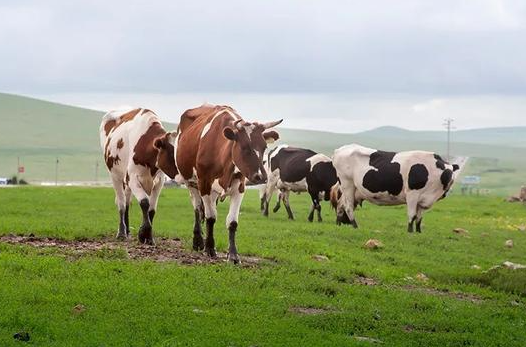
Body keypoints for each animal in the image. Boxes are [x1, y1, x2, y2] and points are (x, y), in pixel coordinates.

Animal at [100, 108, 178, 245]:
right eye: (170, 152)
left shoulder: (159, 182)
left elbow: (152, 209)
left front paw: (149, 237)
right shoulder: (132, 178)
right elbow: (144, 202)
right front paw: (143, 233)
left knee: (127, 202)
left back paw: (127, 230)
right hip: (115, 176)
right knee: (121, 203)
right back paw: (122, 232)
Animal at [175, 104, 282, 266]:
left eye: (264, 147)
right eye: (245, 147)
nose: (261, 177)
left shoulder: (239, 187)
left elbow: (232, 222)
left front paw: (232, 255)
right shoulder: (204, 184)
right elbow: (211, 217)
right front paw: (210, 248)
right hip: (190, 182)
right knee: (197, 209)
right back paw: (198, 241)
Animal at [332, 144, 460, 234]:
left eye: (452, 173)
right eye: (447, 173)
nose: (449, 182)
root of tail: (340, 149)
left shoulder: (424, 200)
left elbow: (419, 218)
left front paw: (418, 232)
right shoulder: (412, 194)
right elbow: (412, 215)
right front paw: (410, 232)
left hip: (351, 190)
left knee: (340, 204)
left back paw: (338, 224)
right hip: (347, 184)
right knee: (348, 207)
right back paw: (355, 226)